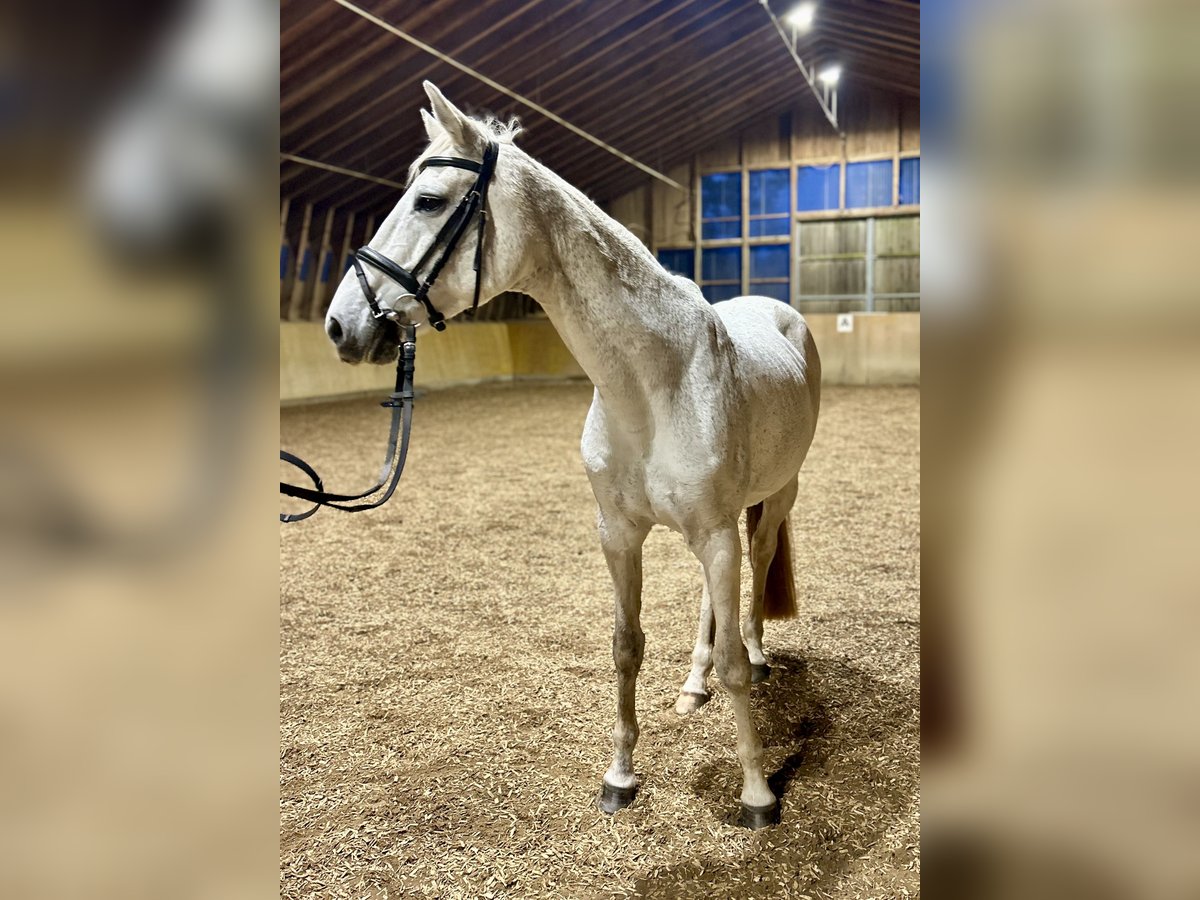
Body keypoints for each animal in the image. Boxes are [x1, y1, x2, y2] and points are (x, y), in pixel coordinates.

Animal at [324, 84, 820, 830]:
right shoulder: (618, 535)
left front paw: (758, 794)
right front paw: (620, 777)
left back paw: (757, 658)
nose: (339, 325)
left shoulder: (713, 533)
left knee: (756, 572)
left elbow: (733, 658)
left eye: (429, 201)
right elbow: (625, 647)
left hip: (773, 497)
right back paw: (693, 685)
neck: (654, 382)